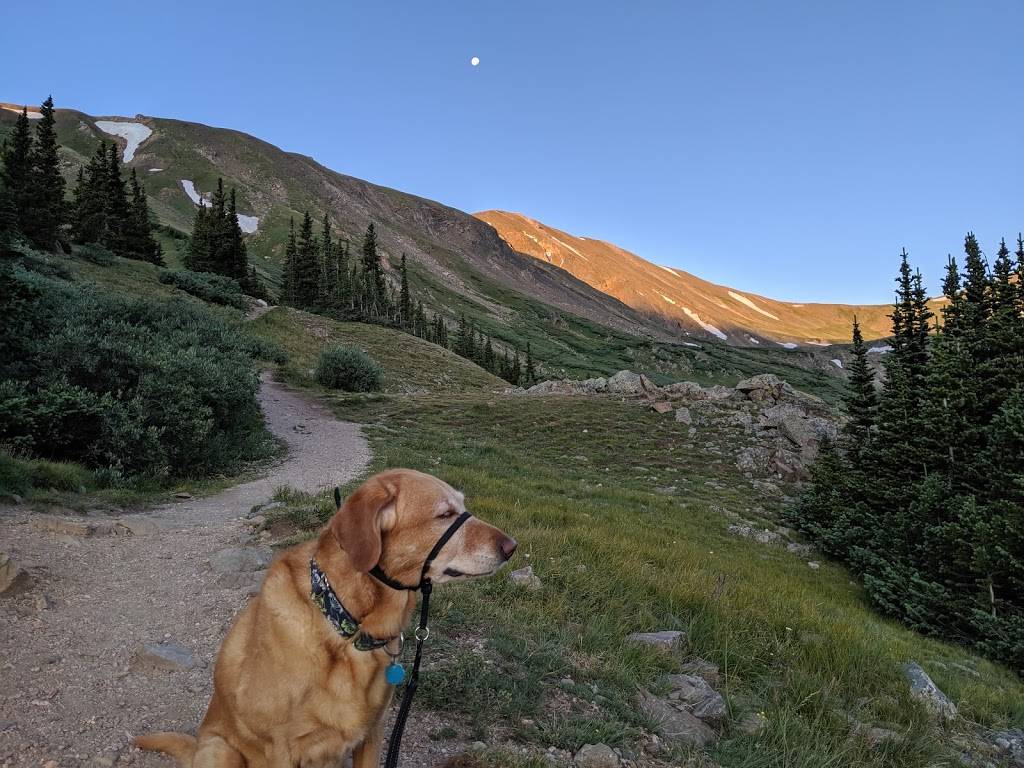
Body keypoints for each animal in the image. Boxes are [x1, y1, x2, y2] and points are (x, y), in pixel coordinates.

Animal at [136, 468, 516, 768]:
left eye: (461, 507)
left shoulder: (371, 735)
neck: (346, 623)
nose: (512, 547)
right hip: (221, 751)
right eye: (445, 514)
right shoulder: (281, 752)